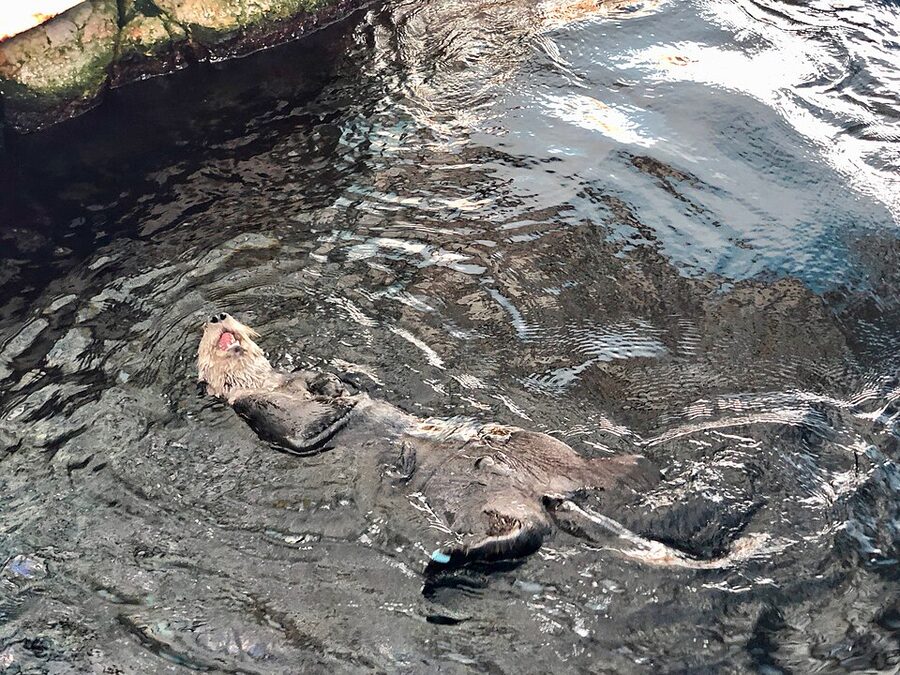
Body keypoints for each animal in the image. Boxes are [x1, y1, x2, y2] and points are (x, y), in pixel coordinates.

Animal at [198, 312, 660, 570]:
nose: (217, 316)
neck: (272, 383)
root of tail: (546, 493)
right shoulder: (257, 411)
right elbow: (300, 432)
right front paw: (334, 402)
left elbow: (322, 384)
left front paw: (331, 384)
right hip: (477, 502)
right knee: (526, 533)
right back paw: (446, 558)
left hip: (545, 452)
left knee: (592, 477)